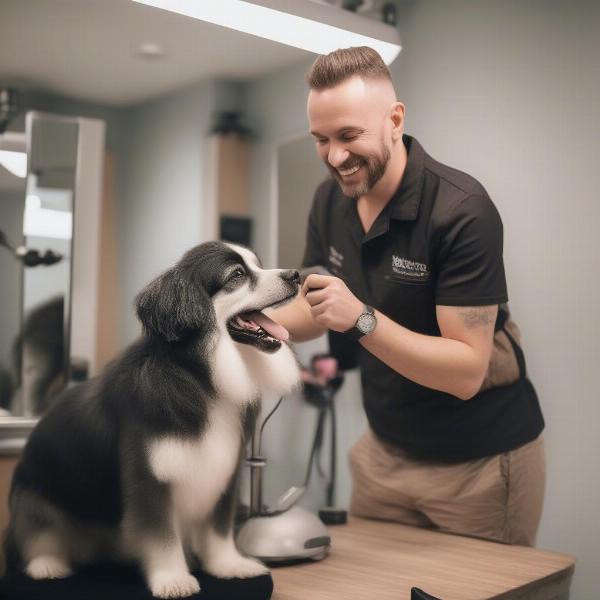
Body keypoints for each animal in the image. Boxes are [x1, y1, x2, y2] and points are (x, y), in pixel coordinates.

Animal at [4, 241, 302, 596]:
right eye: (238, 275)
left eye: (259, 264)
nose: (296, 275)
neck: (200, 376)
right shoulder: (148, 477)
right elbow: (161, 536)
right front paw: (172, 579)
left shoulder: (223, 476)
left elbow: (217, 531)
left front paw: (228, 565)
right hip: (35, 501)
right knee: (37, 535)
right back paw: (47, 564)